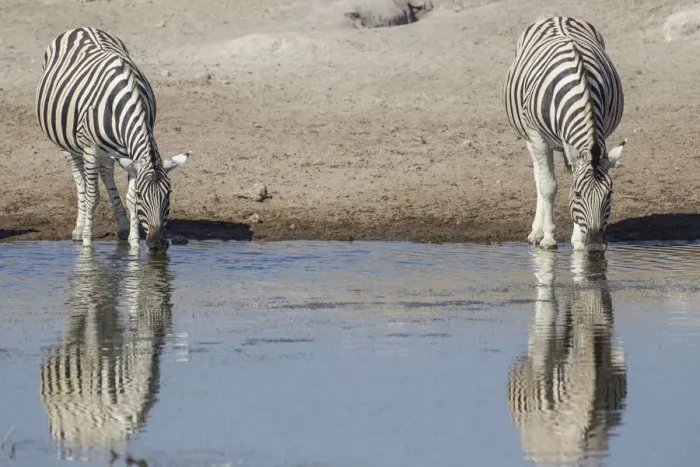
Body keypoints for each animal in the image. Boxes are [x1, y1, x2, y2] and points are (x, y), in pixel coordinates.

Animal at [36, 27, 189, 251]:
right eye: (143, 195)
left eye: (168, 194)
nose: (156, 244)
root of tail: (82, 28)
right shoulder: (91, 148)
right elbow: (92, 196)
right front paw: (87, 244)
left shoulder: (129, 154)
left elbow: (129, 198)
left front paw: (134, 245)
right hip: (67, 144)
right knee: (80, 180)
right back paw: (79, 229)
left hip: (110, 151)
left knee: (106, 172)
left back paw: (123, 227)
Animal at [503, 16, 626, 251]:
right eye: (578, 194)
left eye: (609, 194)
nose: (595, 244)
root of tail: (557, 17)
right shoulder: (537, 137)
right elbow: (548, 186)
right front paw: (549, 238)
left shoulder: (600, 134)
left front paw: (578, 240)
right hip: (529, 138)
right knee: (539, 177)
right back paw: (537, 232)